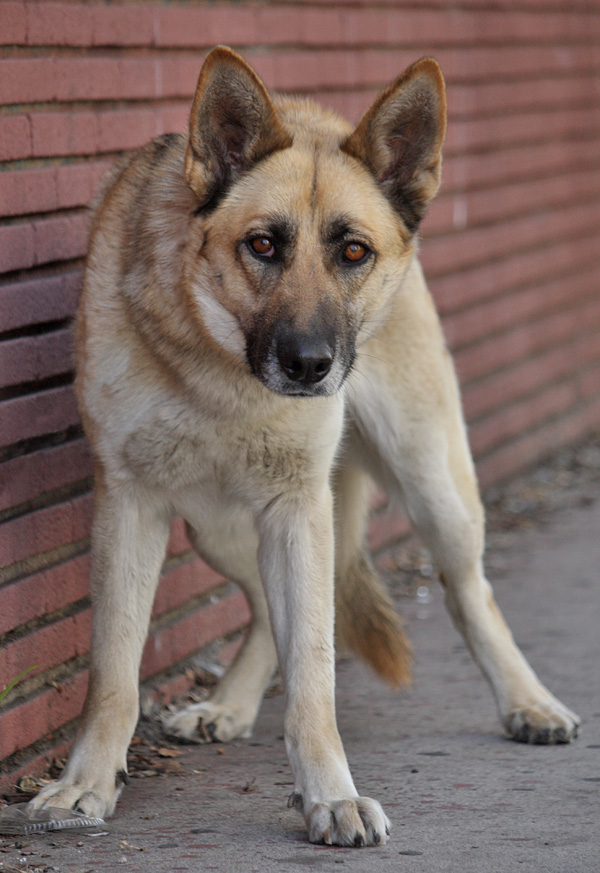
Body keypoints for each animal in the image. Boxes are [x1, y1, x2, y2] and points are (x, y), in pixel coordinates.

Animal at [30, 46, 580, 847]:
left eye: (353, 251)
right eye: (262, 244)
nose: (311, 365)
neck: (222, 372)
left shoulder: (297, 509)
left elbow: (315, 673)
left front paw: (331, 795)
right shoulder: (130, 507)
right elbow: (113, 672)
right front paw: (88, 783)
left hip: (432, 487)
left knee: (470, 592)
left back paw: (528, 702)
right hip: (219, 530)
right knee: (264, 608)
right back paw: (228, 704)